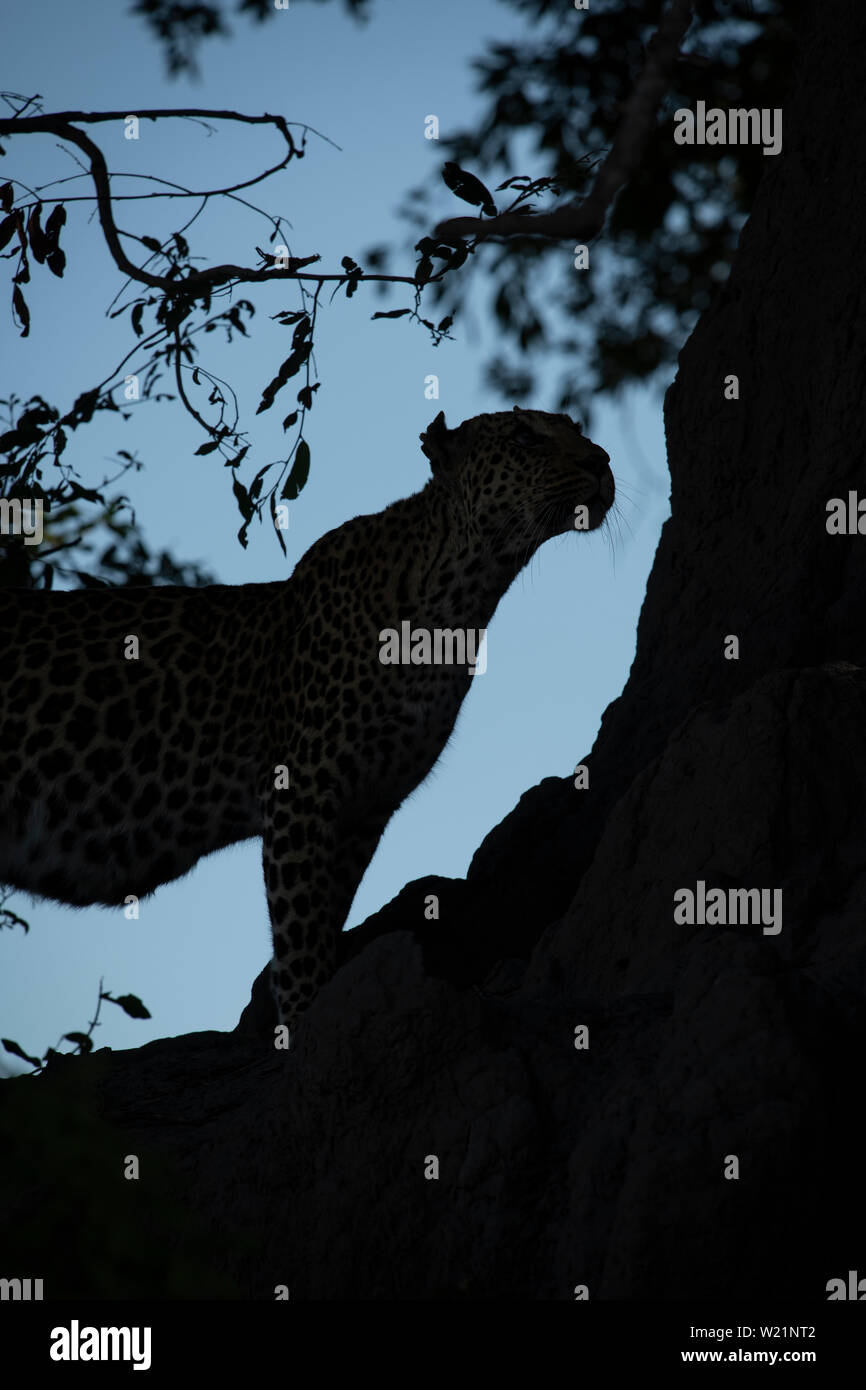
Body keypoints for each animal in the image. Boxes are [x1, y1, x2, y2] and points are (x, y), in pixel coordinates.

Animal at [0, 403, 617, 1034]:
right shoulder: (301, 789)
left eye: (574, 428)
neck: (460, 601)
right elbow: (297, 926)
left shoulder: (366, 809)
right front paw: (301, 1020)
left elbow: (324, 916)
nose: (601, 461)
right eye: (523, 437)